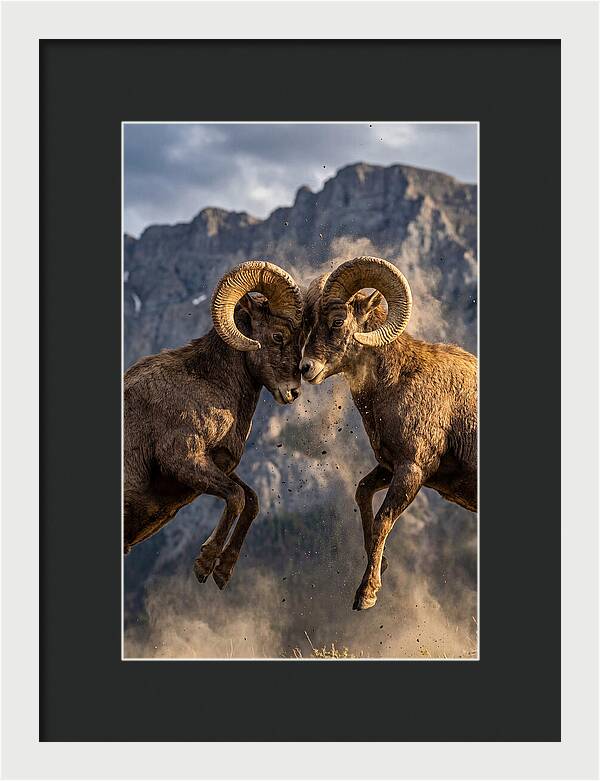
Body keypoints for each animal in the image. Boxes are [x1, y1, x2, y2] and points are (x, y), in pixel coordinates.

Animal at [124, 261, 304, 589]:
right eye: (277, 336)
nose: (293, 392)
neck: (209, 383)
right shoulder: (183, 460)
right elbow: (236, 498)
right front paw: (204, 564)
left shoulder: (218, 465)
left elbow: (251, 500)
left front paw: (222, 572)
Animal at [300, 256, 477, 610]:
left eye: (338, 321)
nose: (305, 368)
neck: (398, 381)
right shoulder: (388, 467)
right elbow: (362, 493)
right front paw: (380, 566)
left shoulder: (412, 470)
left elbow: (383, 520)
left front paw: (366, 595)